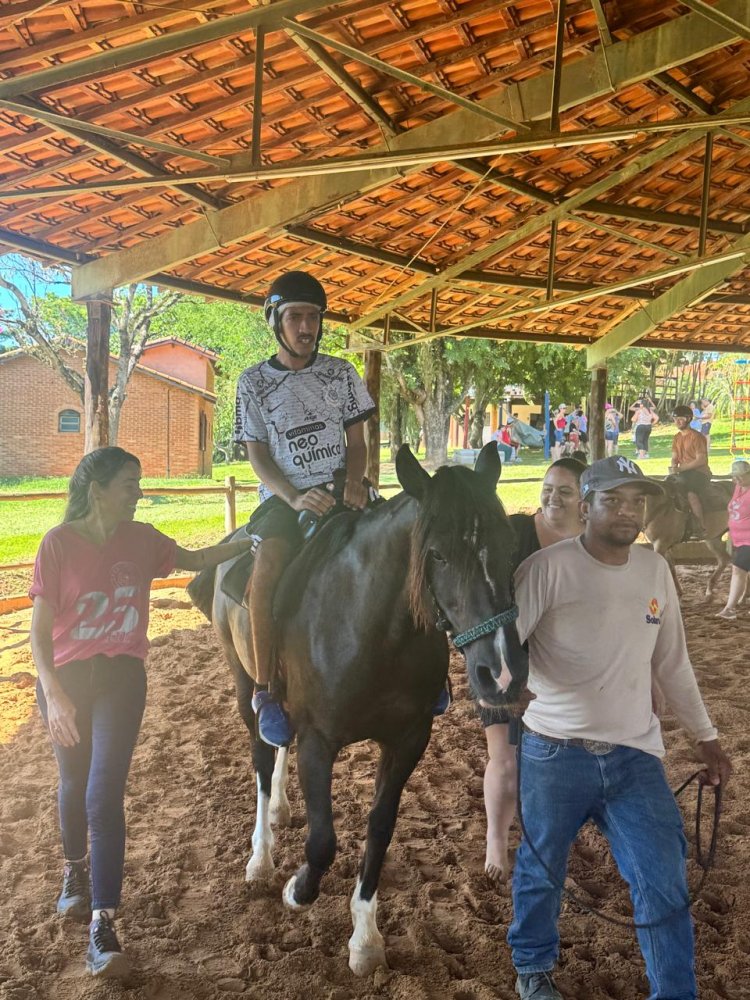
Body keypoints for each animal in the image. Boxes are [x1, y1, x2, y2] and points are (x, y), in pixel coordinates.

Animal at [188, 446, 528, 976]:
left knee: (276, 743)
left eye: (511, 547)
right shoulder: (318, 742)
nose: (504, 673)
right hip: (243, 682)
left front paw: (365, 939)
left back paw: (282, 810)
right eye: (437, 554)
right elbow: (323, 841)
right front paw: (298, 889)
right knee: (262, 754)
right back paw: (261, 860)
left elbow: (380, 827)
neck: (371, 626)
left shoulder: (409, 740)